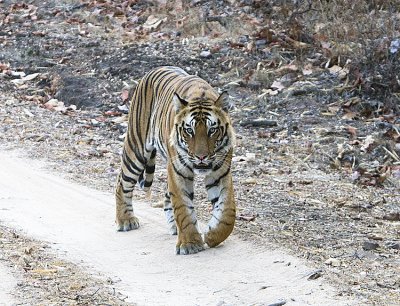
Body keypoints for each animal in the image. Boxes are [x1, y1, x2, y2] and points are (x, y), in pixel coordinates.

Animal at [114, 65, 236, 255]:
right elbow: (183, 208)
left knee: (166, 197)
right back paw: (126, 220)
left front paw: (212, 236)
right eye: (189, 130)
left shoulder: (220, 172)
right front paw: (190, 244)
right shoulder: (179, 171)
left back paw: (173, 227)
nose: (201, 156)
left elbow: (228, 213)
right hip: (136, 149)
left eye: (212, 130)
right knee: (122, 183)